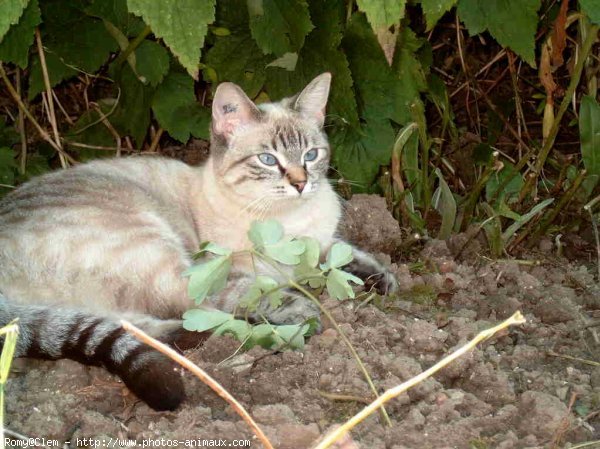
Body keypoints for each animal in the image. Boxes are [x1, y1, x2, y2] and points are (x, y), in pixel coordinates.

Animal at [0, 72, 398, 410]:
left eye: (311, 155)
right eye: (268, 160)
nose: (301, 184)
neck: (289, 219)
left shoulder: (319, 245)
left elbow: (342, 258)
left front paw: (381, 281)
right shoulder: (240, 267)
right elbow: (267, 286)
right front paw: (305, 302)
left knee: (146, 329)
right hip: (158, 249)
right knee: (203, 309)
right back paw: (285, 328)